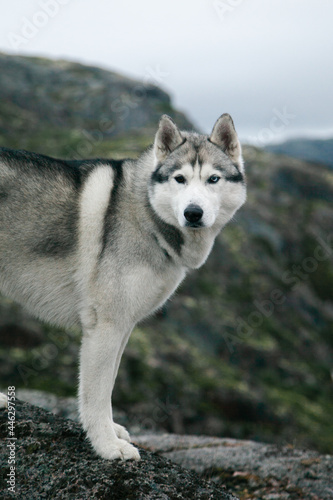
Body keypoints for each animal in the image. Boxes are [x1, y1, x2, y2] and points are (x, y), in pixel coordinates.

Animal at [0, 114, 244, 460]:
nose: (193, 213)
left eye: (213, 179)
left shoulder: (124, 326)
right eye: (180, 179)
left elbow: (110, 385)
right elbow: (97, 393)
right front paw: (106, 446)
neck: (146, 213)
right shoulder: (106, 326)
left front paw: (112, 431)